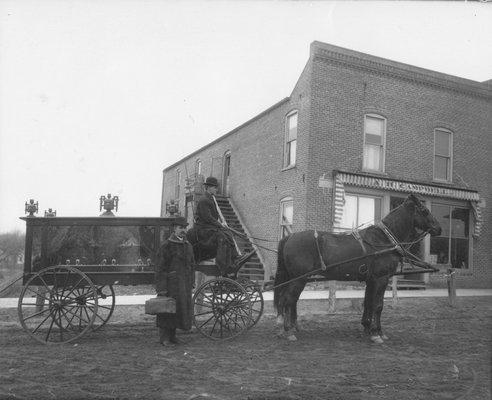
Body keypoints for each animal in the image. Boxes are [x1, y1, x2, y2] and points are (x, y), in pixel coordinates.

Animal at [272, 195, 442, 344]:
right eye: (424, 210)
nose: (439, 228)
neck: (384, 239)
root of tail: (290, 236)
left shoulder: (371, 280)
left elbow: (368, 303)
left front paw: (369, 328)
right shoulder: (381, 278)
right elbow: (378, 305)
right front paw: (376, 334)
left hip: (295, 278)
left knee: (289, 301)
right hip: (299, 279)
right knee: (287, 300)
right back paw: (288, 331)